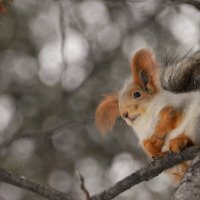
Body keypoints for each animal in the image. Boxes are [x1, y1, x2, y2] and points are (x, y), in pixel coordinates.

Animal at [94, 48, 200, 183]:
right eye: (118, 106)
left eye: (137, 94)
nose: (125, 114)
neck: (146, 119)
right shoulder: (143, 135)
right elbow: (146, 145)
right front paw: (155, 147)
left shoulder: (177, 105)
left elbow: (169, 115)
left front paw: (159, 132)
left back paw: (180, 141)